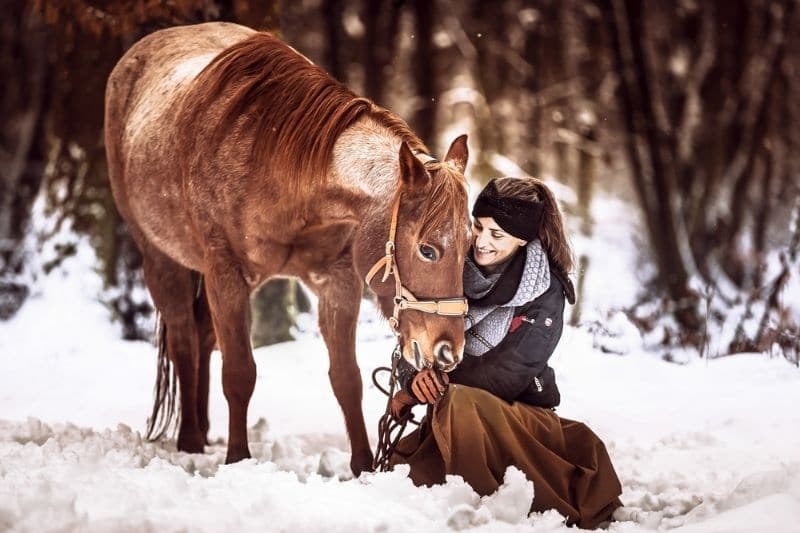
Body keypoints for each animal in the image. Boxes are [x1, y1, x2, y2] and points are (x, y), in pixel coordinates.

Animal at [103, 21, 472, 474]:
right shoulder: (225, 273)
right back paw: (189, 439)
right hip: (162, 261)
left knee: (203, 338)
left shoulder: (337, 280)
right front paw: (238, 459)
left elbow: (346, 378)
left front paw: (363, 467)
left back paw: (203, 431)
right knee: (184, 343)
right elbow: (239, 373)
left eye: (471, 243)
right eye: (427, 250)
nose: (449, 349)